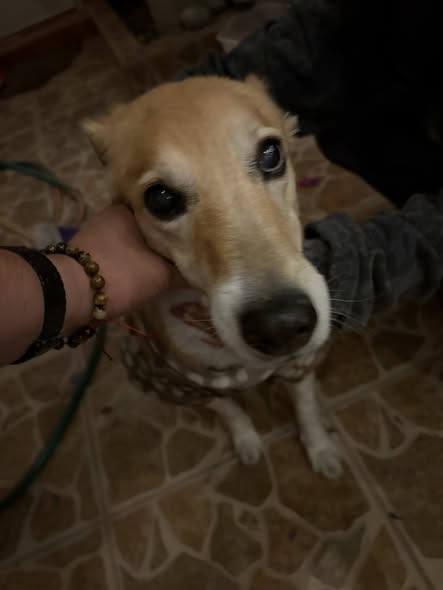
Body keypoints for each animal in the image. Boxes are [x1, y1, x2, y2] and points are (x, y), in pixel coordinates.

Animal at [84, 75, 342, 480]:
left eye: (271, 154)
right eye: (160, 198)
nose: (282, 325)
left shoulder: (300, 364)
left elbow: (307, 410)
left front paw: (321, 449)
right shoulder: (187, 384)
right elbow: (232, 412)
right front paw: (248, 442)